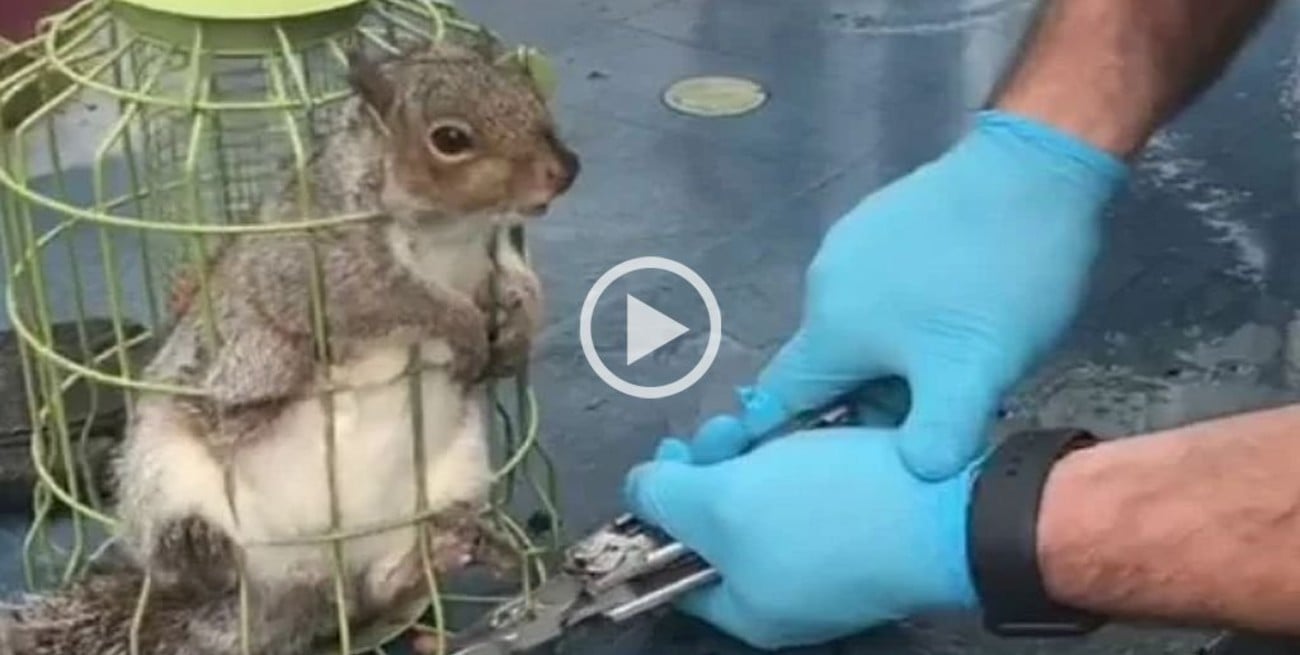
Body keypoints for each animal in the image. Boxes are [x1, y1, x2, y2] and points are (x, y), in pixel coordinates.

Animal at [1, 37, 579, 655]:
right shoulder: (321, 268)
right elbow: (396, 301)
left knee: (378, 587)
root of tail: (287, 591)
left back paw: (445, 550)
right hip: (161, 473)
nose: (565, 171)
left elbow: (520, 284)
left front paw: (516, 329)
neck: (451, 235)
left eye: (529, 93)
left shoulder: (496, 254)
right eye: (450, 139)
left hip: (454, 478)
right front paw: (463, 325)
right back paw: (197, 547)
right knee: (185, 563)